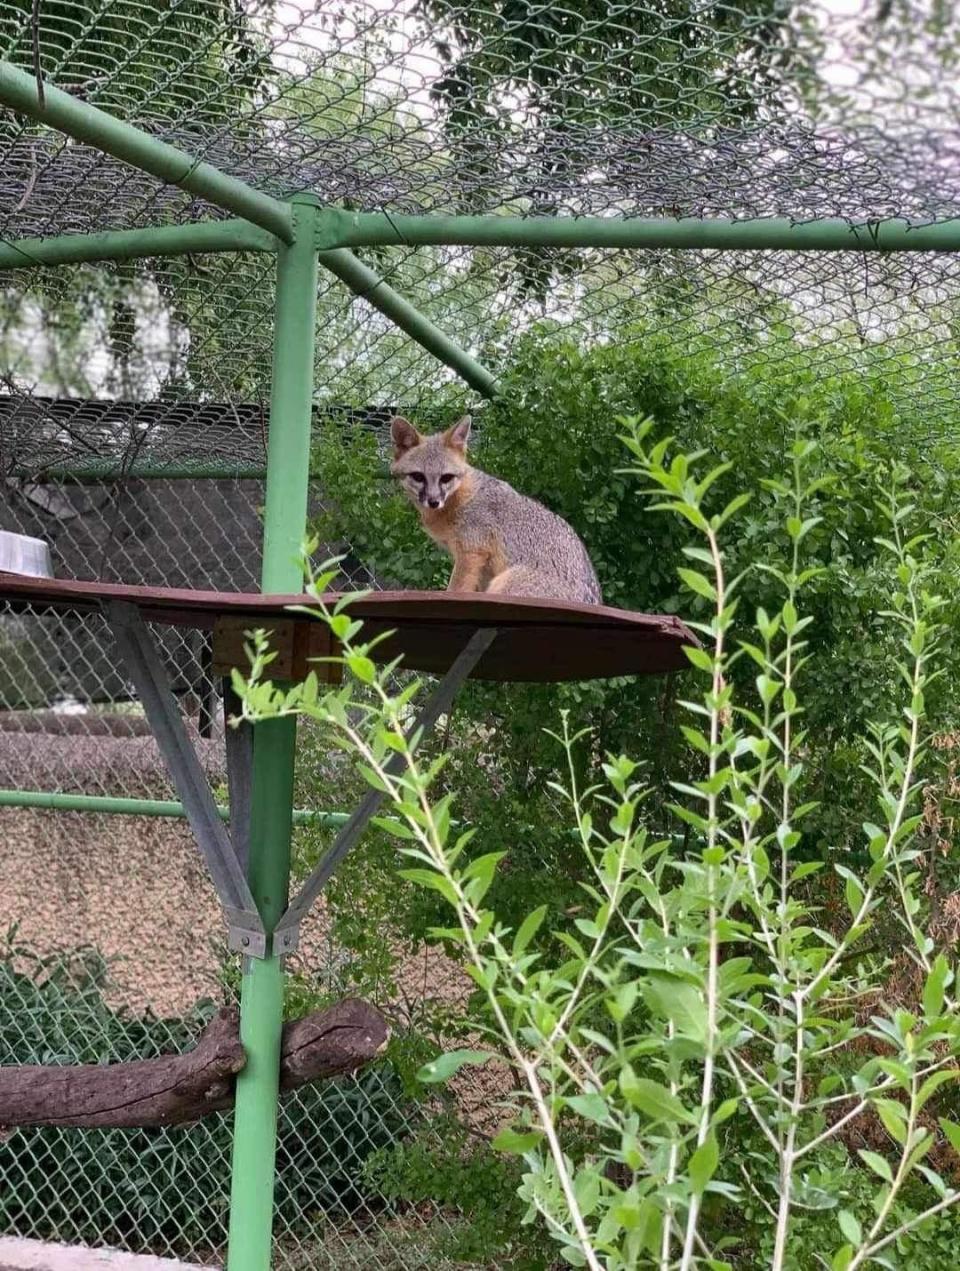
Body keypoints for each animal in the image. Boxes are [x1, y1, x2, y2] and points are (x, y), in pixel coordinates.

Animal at [389, 411, 600, 599]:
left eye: (446, 478)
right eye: (418, 477)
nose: (434, 501)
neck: (461, 498)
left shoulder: (471, 552)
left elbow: (455, 590)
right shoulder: (480, 566)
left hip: (504, 583)